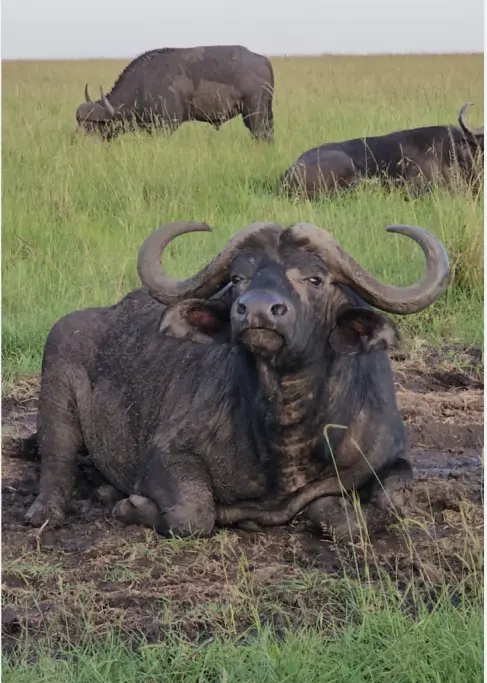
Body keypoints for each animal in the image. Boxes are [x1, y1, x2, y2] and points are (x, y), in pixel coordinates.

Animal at [25, 220, 449, 539]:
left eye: (315, 279)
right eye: (238, 278)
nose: (257, 310)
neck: (286, 432)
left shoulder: (390, 455)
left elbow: (384, 505)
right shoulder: (166, 455)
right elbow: (193, 514)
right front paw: (132, 506)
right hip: (57, 373)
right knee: (56, 462)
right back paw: (48, 510)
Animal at [76, 45, 274, 141]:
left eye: (93, 125)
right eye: (79, 123)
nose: (77, 141)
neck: (142, 84)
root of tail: (263, 60)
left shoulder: (168, 124)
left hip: (255, 114)